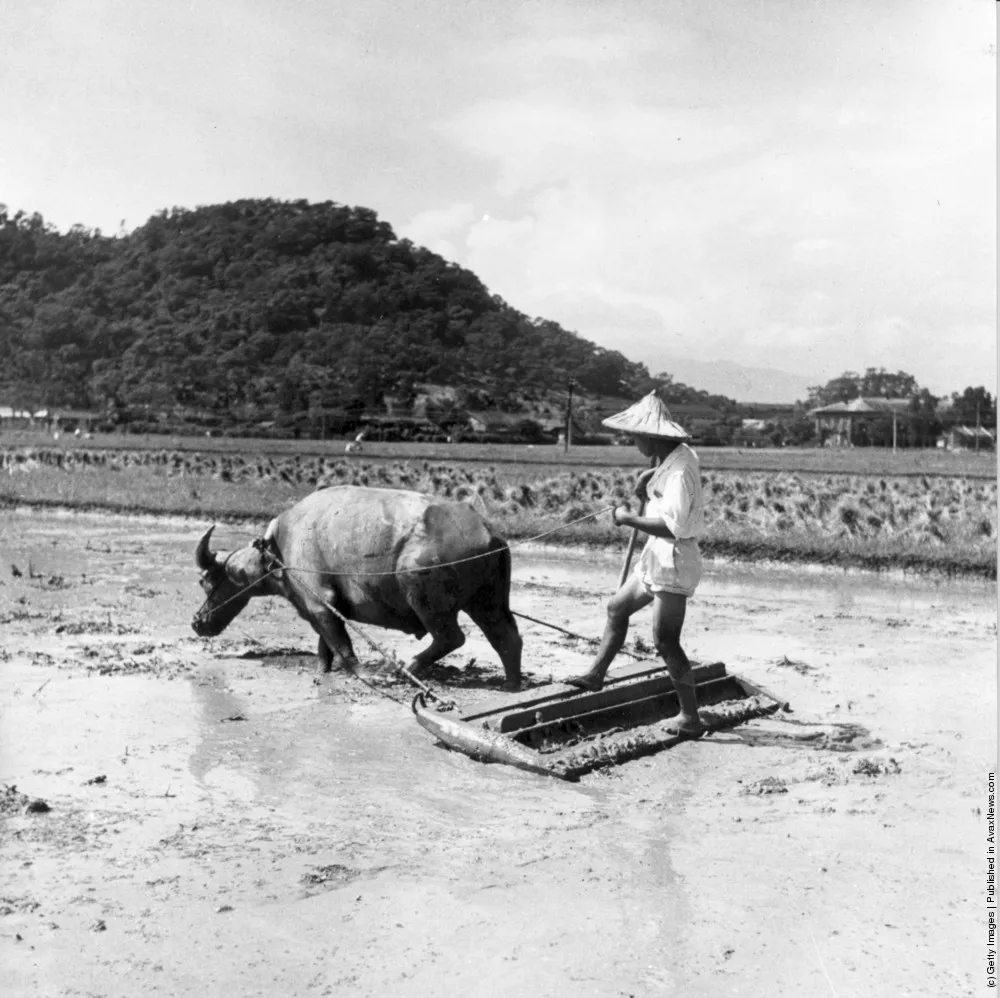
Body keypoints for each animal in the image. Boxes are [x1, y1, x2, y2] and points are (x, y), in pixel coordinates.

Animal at [191, 486, 528, 692]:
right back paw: (511, 684)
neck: (278, 551)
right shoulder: (324, 609)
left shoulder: (320, 602)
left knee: (452, 637)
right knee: (507, 638)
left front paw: (362, 673)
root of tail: (489, 532)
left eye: (207, 581)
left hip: (424, 596)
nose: (197, 622)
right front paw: (323, 672)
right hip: (489, 602)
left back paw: (402, 668)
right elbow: (325, 646)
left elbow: (343, 647)